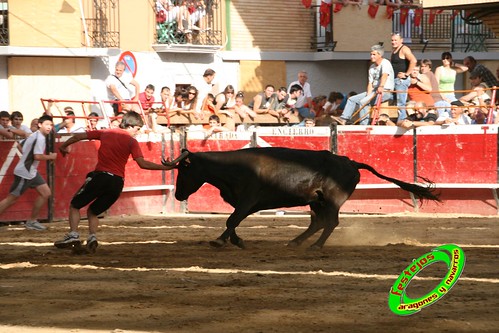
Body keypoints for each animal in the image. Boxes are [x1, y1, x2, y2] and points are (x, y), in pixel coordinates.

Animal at [162, 147, 440, 248]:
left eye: (183, 171)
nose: (179, 194)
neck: (232, 169)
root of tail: (351, 161)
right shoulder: (241, 203)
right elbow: (234, 221)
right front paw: (236, 241)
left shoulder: (247, 200)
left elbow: (232, 220)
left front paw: (220, 241)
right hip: (316, 200)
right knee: (317, 222)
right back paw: (295, 242)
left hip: (332, 200)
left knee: (330, 222)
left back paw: (315, 246)